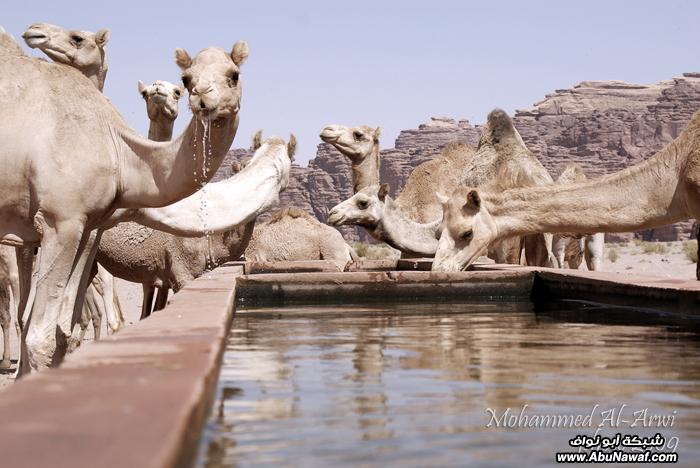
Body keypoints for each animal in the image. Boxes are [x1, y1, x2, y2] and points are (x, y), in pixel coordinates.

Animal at [0, 40, 249, 372]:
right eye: (187, 80)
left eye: (233, 74)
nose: (204, 98)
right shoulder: (60, 219)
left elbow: (61, 328)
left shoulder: (89, 227)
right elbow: (41, 337)